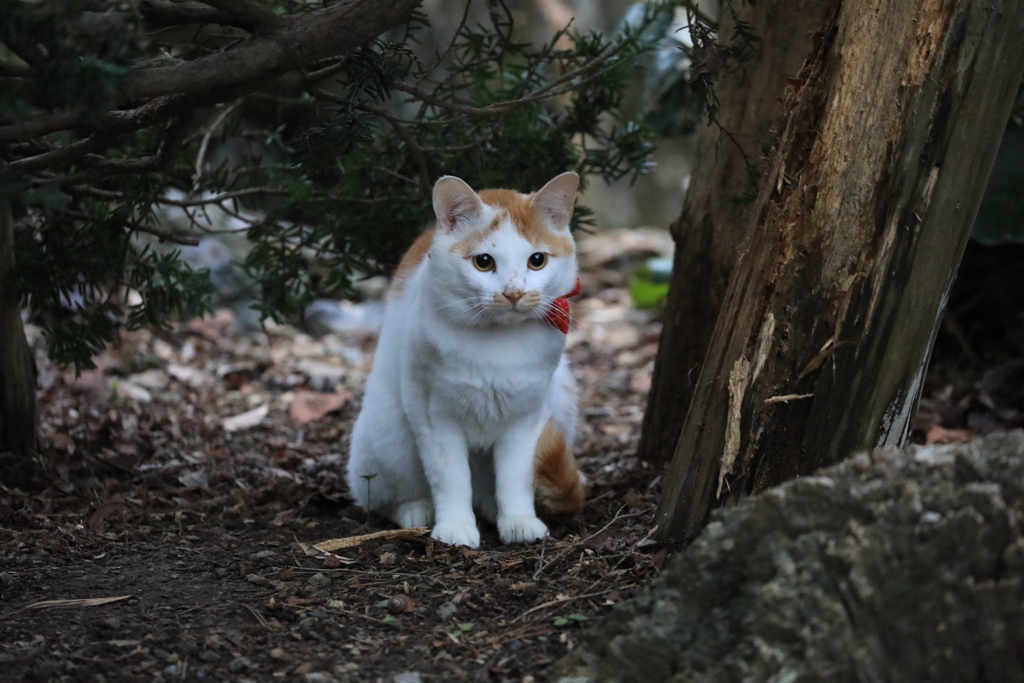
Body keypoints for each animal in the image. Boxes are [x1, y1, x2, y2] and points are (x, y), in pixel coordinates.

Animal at [344, 172, 585, 548]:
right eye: (483, 262)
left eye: (537, 260)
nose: (513, 293)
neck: (498, 344)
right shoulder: (434, 418)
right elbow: (450, 478)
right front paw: (455, 527)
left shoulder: (527, 418)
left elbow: (516, 478)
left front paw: (519, 521)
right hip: (389, 434)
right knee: (380, 497)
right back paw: (417, 510)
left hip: (562, 404)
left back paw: (491, 507)